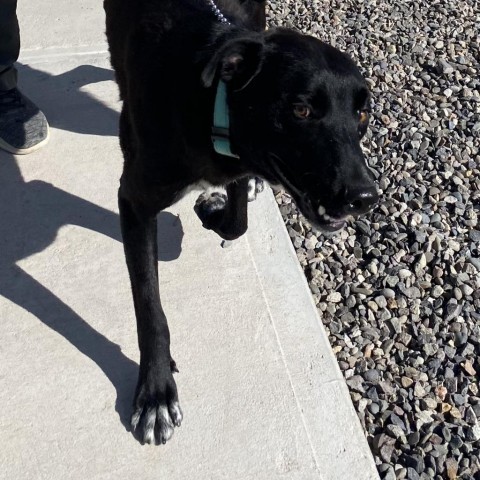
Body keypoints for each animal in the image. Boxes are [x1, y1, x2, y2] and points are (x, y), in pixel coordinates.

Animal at [104, 0, 378, 446]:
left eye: (363, 113)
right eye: (301, 109)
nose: (365, 197)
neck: (205, 98)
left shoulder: (233, 156)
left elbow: (238, 223)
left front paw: (216, 209)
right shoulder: (134, 200)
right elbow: (150, 308)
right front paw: (157, 393)